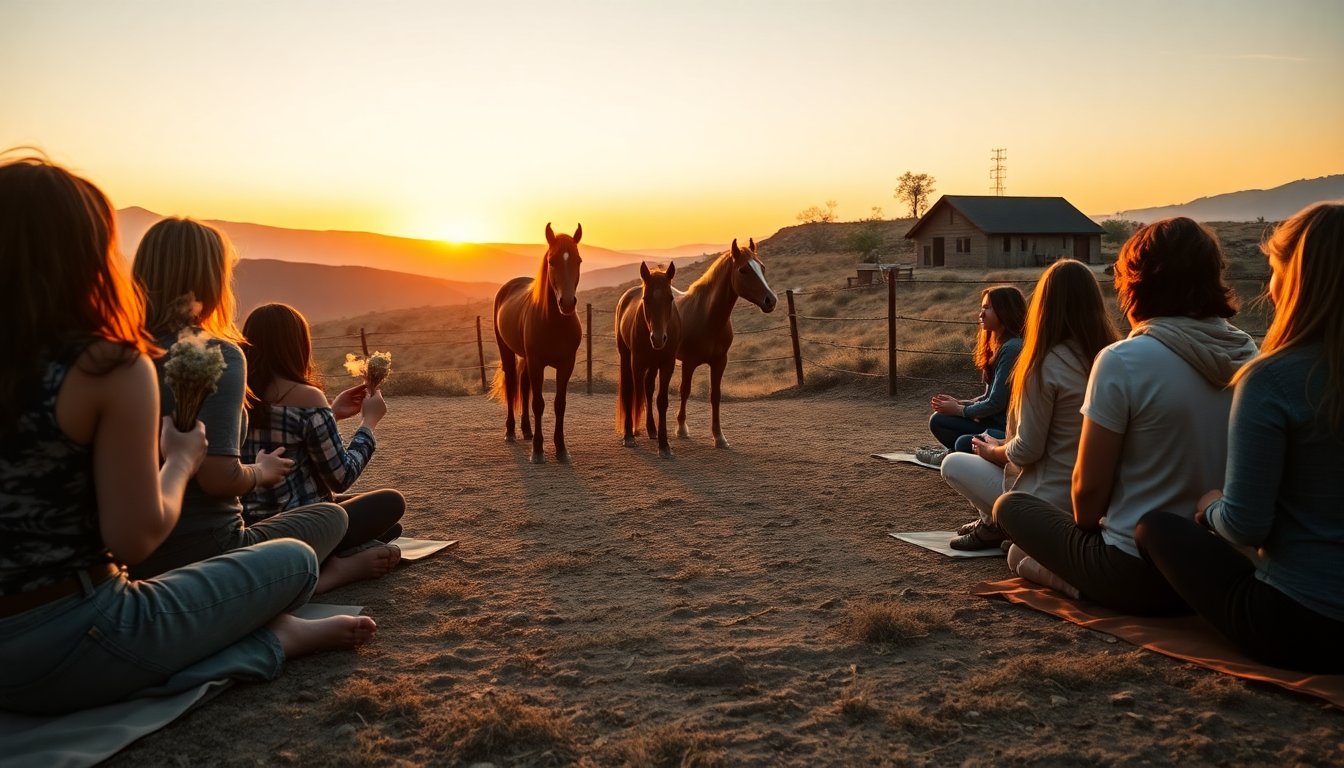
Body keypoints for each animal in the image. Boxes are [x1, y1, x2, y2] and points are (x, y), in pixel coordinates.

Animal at [491, 222, 583, 464]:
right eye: (551, 261)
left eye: (578, 260)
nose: (567, 303)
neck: (554, 322)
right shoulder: (537, 362)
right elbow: (539, 404)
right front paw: (538, 450)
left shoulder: (566, 365)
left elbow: (559, 404)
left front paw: (561, 449)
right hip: (508, 352)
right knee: (513, 384)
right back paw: (511, 431)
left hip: (525, 358)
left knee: (524, 385)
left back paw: (526, 430)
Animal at [615, 261, 680, 458]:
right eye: (646, 299)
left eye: (670, 298)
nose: (658, 339)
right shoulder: (636, 363)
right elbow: (633, 393)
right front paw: (629, 435)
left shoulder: (667, 365)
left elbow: (661, 400)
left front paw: (664, 444)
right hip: (626, 357)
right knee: (631, 390)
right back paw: (632, 431)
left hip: (652, 365)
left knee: (648, 389)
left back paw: (652, 429)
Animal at [674, 238, 777, 448]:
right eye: (743, 270)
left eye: (762, 267)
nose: (770, 300)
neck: (706, 315)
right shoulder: (688, 363)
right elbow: (685, 391)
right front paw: (681, 428)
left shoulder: (720, 362)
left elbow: (715, 395)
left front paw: (719, 437)